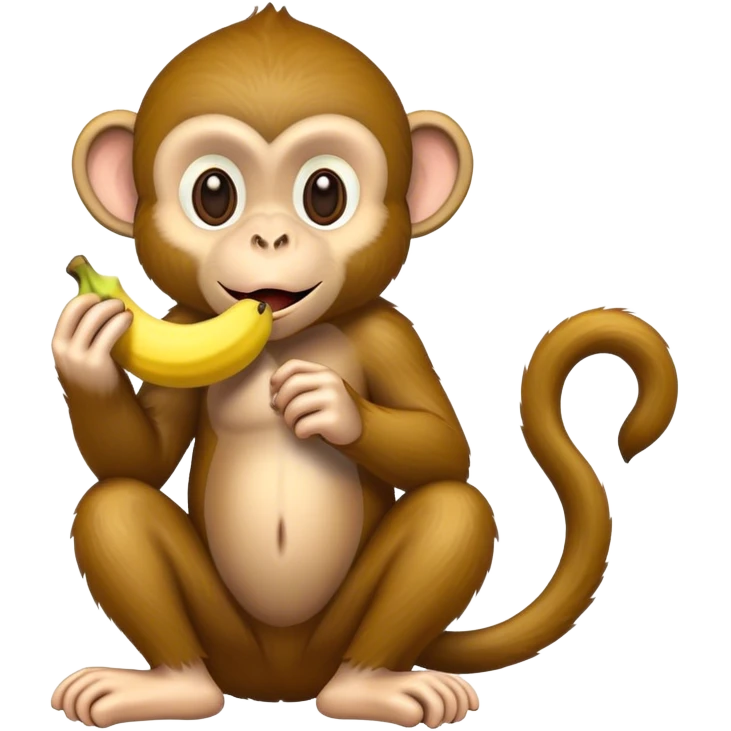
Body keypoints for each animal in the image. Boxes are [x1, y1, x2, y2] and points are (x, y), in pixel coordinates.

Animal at [49, 5, 680, 729]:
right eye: (214, 194)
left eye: (324, 194)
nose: (271, 237)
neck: (280, 339)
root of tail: (280, 681)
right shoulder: (185, 325)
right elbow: (140, 460)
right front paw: (84, 349)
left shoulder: (388, 333)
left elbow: (443, 449)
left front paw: (329, 405)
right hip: (225, 637)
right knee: (114, 506)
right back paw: (170, 686)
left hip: (338, 633)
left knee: (454, 510)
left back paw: (374, 686)